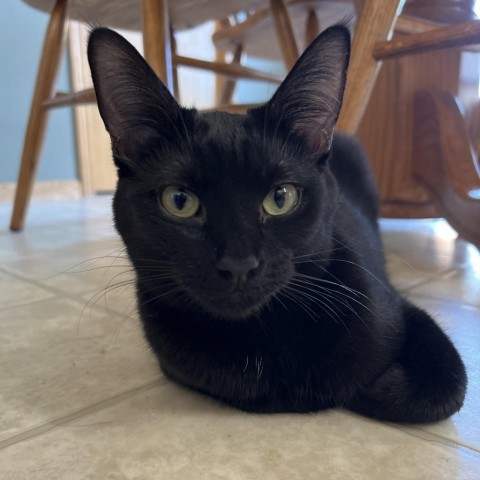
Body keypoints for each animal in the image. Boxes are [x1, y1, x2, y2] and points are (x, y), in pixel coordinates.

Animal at [88, 26, 466, 424]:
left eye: (280, 198)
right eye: (179, 201)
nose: (238, 263)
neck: (261, 337)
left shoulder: (398, 308)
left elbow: (448, 386)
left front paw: (375, 383)